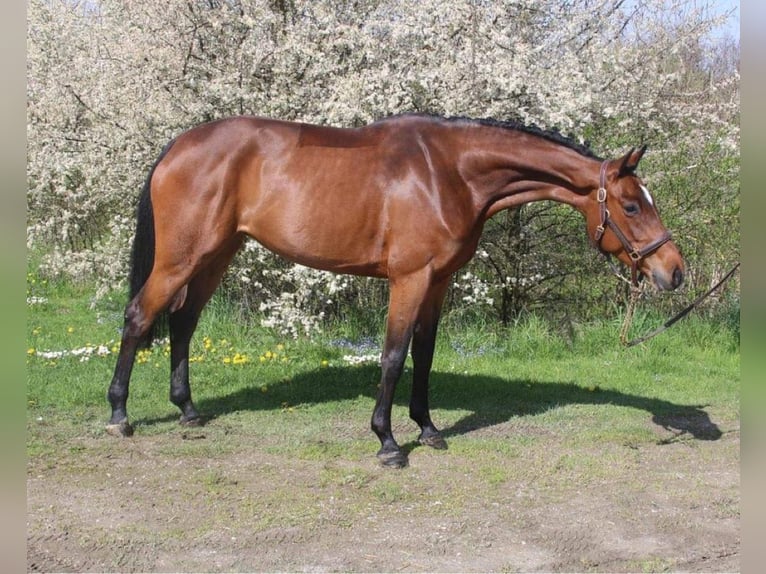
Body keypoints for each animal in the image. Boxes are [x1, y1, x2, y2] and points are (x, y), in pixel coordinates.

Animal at [106, 114, 684, 468]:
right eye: (632, 205)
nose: (674, 272)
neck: (448, 172)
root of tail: (177, 146)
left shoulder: (439, 281)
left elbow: (423, 356)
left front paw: (427, 429)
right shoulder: (410, 278)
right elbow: (393, 354)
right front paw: (387, 442)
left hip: (216, 254)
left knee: (183, 322)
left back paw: (188, 409)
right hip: (181, 258)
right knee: (139, 316)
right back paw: (119, 416)